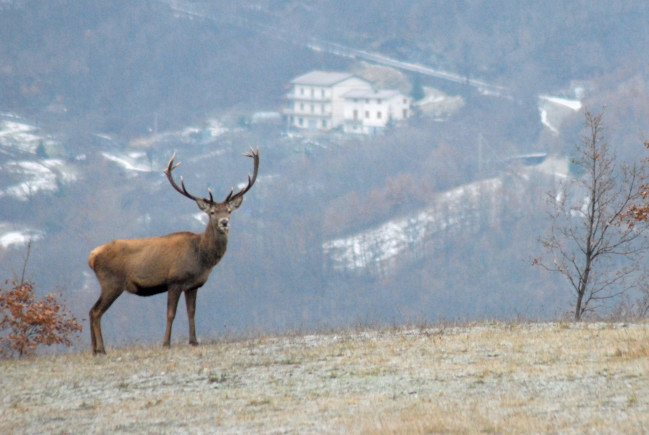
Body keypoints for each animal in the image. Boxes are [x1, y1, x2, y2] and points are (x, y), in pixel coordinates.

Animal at [88, 148, 258, 356]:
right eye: (212, 212)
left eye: (229, 210)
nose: (224, 222)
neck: (201, 257)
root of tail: (92, 256)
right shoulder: (174, 281)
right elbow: (171, 313)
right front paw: (166, 343)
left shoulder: (193, 285)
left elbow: (191, 312)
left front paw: (194, 341)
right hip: (111, 282)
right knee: (96, 312)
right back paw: (101, 349)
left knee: (91, 311)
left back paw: (94, 349)